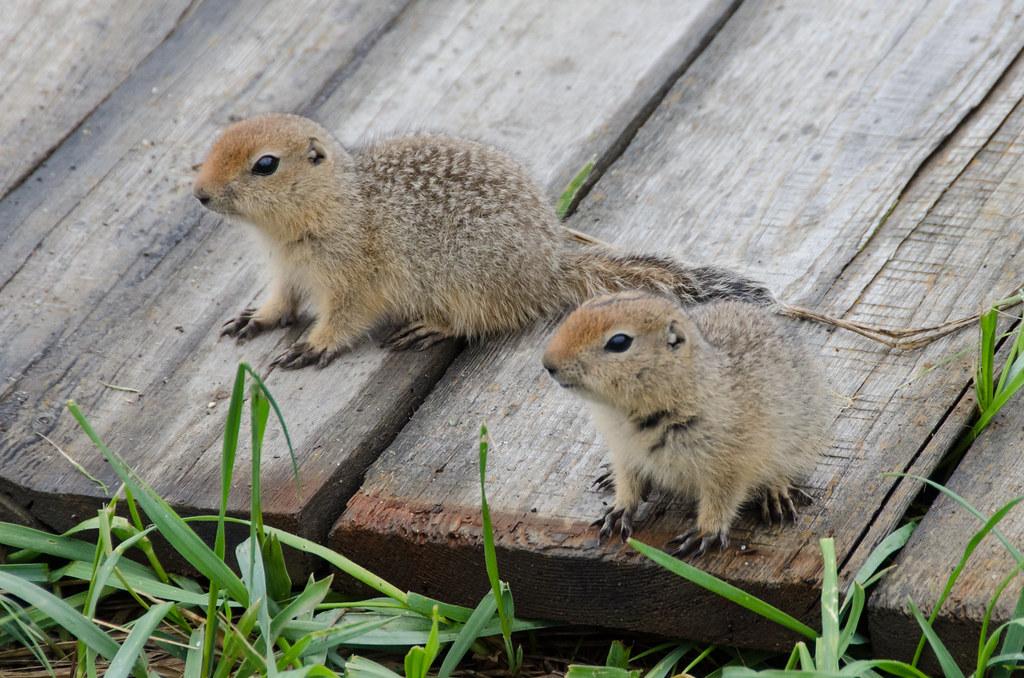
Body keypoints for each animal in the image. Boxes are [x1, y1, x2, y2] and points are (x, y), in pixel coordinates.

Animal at [192, 115, 770, 372]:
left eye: (265, 164)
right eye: (215, 143)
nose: (199, 194)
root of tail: (550, 267)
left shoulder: (353, 278)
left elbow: (346, 318)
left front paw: (312, 345)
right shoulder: (285, 270)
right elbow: (281, 301)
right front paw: (256, 319)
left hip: (469, 284)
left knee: (483, 319)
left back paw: (431, 327)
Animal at [540, 290, 827, 557]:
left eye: (619, 342)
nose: (547, 364)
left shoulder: (731, 463)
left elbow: (722, 499)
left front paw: (705, 531)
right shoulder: (626, 453)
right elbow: (628, 482)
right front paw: (620, 509)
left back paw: (776, 491)